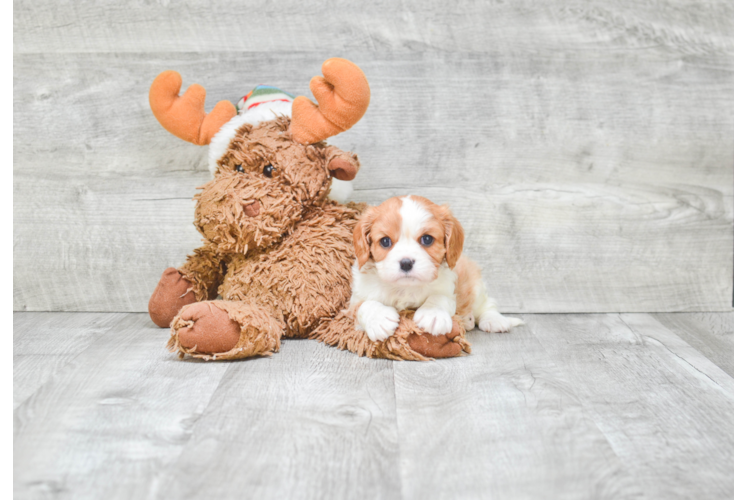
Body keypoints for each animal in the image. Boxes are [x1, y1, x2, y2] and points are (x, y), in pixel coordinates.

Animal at [350, 197, 520, 342]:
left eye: (427, 239)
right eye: (385, 241)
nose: (406, 263)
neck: (405, 288)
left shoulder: (449, 289)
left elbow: (439, 297)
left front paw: (433, 314)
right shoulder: (356, 299)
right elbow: (364, 306)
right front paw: (378, 319)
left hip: (474, 284)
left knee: (486, 304)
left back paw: (494, 320)